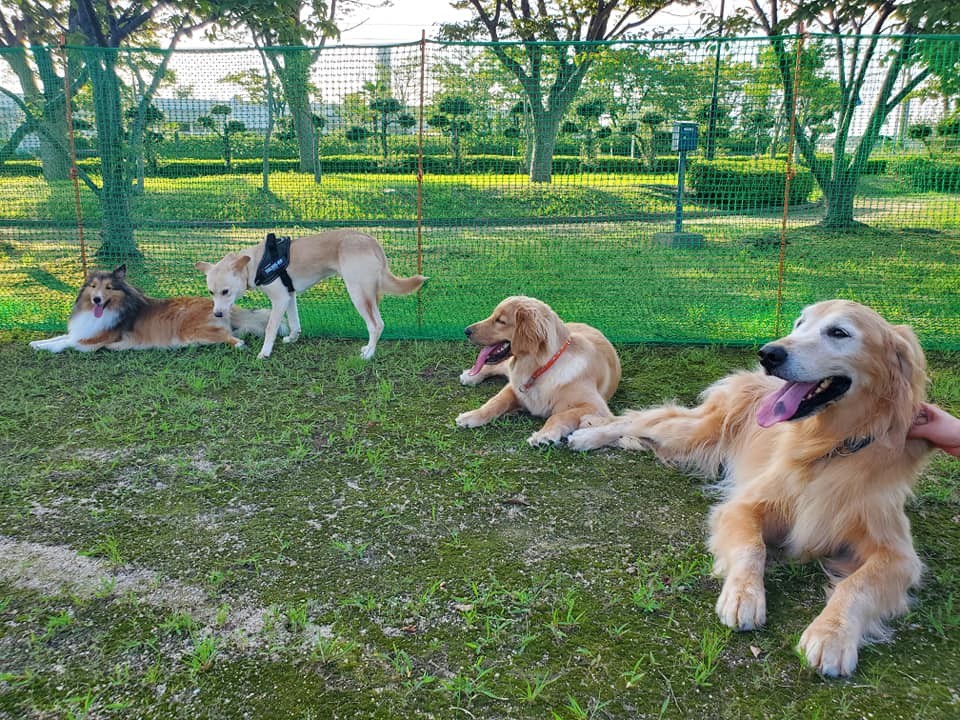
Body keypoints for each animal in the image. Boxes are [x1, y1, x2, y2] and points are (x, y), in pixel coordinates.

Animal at [30, 264, 270, 354]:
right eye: (93, 286)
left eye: (109, 288)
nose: (97, 300)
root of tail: (221, 306)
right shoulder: (83, 332)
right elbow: (61, 337)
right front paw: (37, 342)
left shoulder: (95, 340)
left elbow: (65, 342)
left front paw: (45, 347)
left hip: (190, 330)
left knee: (232, 337)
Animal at [197, 229, 426, 360]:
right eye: (211, 292)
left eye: (225, 291)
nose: (217, 314)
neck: (255, 263)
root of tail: (371, 241)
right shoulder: (289, 296)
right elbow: (294, 322)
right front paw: (292, 338)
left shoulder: (279, 300)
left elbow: (270, 328)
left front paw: (265, 352)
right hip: (371, 296)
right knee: (379, 323)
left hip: (357, 294)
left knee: (376, 325)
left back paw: (369, 354)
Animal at [568, 300, 932, 680]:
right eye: (799, 323)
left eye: (839, 332)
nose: (768, 353)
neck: (828, 448)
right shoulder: (744, 506)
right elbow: (751, 547)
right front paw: (744, 596)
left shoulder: (897, 554)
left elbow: (856, 584)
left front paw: (831, 635)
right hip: (693, 433)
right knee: (638, 419)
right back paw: (588, 435)